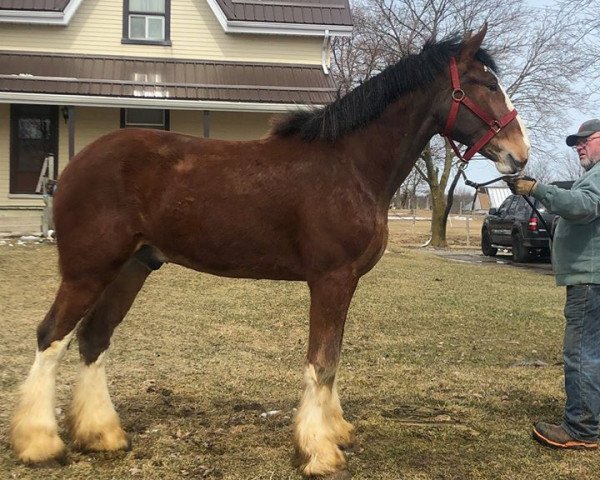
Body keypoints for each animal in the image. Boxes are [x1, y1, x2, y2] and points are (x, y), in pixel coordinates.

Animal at [11, 27, 528, 480]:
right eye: (486, 85)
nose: (519, 155)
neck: (350, 165)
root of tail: (74, 166)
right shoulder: (331, 278)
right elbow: (321, 362)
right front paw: (319, 452)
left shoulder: (345, 283)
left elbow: (332, 359)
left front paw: (335, 431)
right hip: (88, 270)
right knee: (52, 335)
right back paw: (40, 443)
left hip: (132, 267)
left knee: (94, 337)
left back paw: (102, 435)